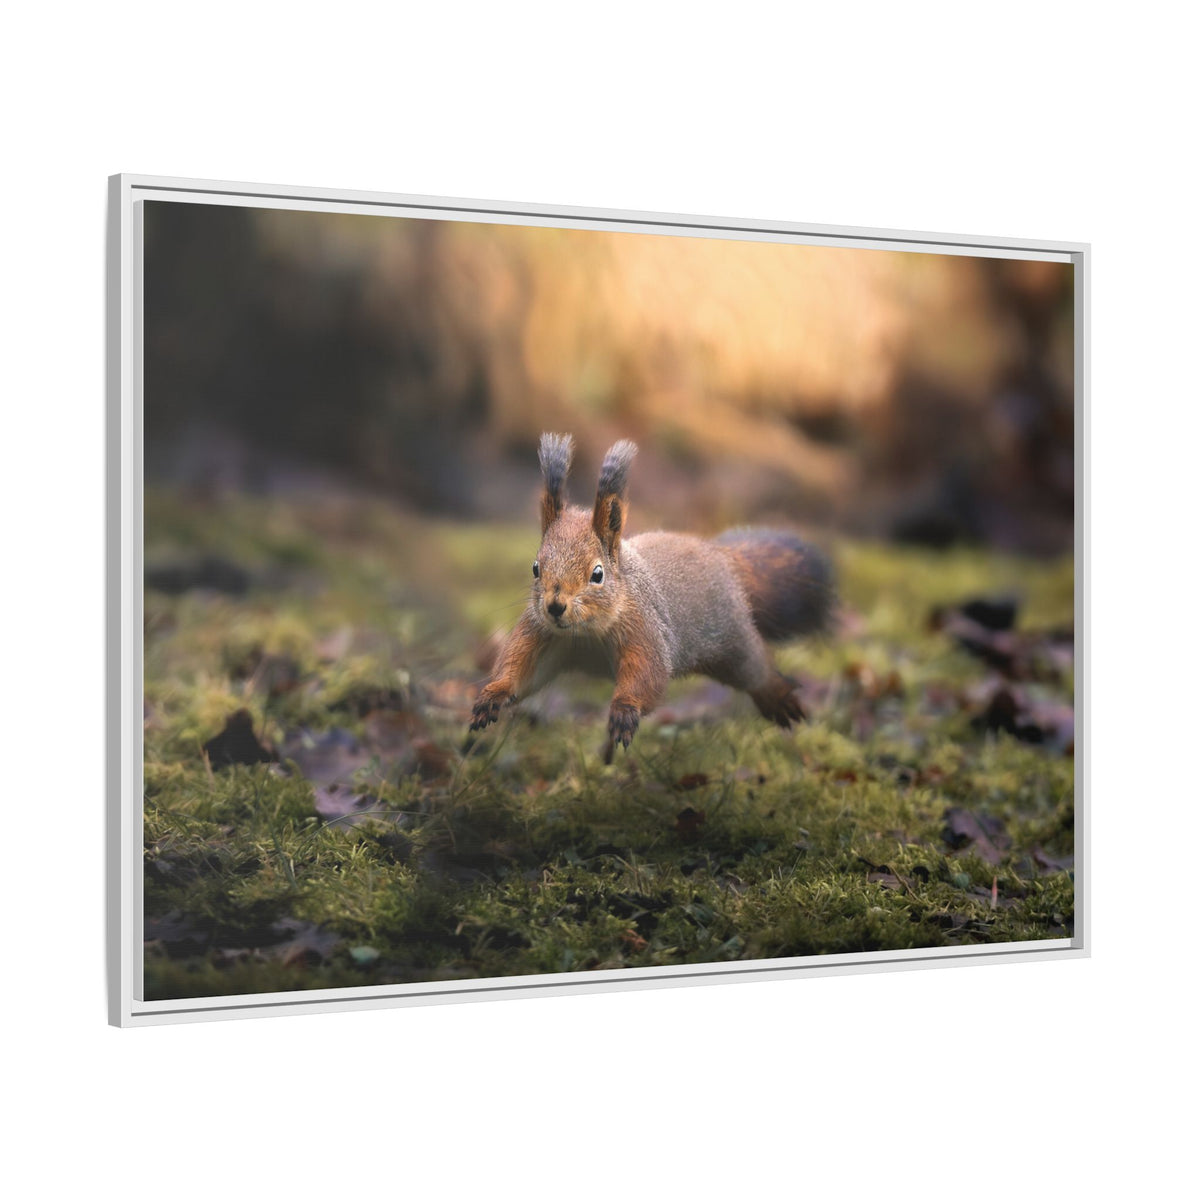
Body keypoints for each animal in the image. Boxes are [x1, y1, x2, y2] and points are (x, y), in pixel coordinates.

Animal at [470, 433, 835, 760]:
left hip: (731, 639)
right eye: (535, 568)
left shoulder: (643, 629)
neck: (584, 635)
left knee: (755, 666)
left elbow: (649, 673)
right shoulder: (541, 635)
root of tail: (722, 557)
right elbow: (520, 670)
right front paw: (493, 694)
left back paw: (777, 694)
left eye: (597, 574)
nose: (555, 607)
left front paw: (624, 709)